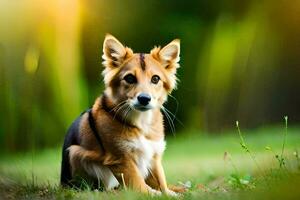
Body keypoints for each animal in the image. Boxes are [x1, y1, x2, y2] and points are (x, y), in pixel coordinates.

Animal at [59, 34, 180, 195]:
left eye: (155, 79)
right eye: (129, 78)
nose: (144, 99)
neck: (141, 122)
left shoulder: (153, 154)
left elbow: (161, 179)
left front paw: (168, 193)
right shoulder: (121, 158)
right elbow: (137, 182)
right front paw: (152, 194)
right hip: (75, 153)